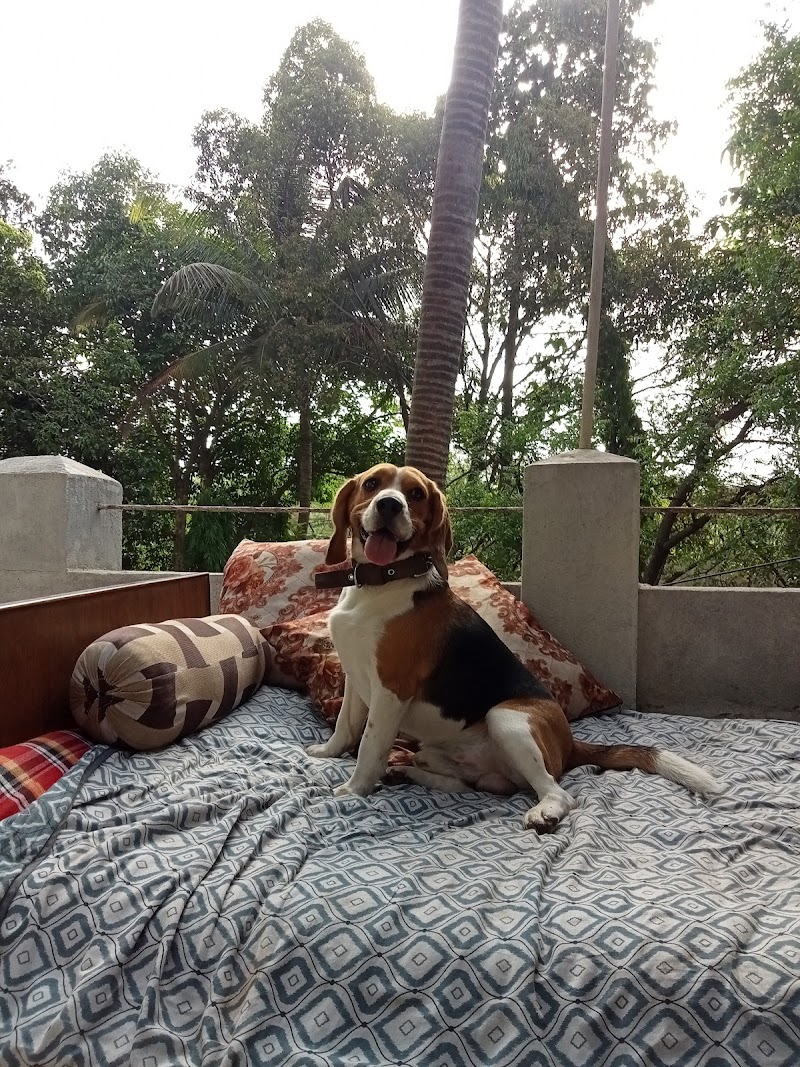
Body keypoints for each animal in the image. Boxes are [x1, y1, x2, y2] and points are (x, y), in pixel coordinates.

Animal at [308, 464, 719, 832]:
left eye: (416, 494)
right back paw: (405, 772)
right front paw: (326, 754)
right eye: (372, 484)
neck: (382, 583)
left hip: (507, 719)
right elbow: (345, 727)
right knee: (464, 785)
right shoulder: (355, 678)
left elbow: (369, 745)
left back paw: (545, 811)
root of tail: (569, 743)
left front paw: (352, 791)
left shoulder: (391, 691)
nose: (390, 505)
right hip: (438, 750)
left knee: (557, 792)